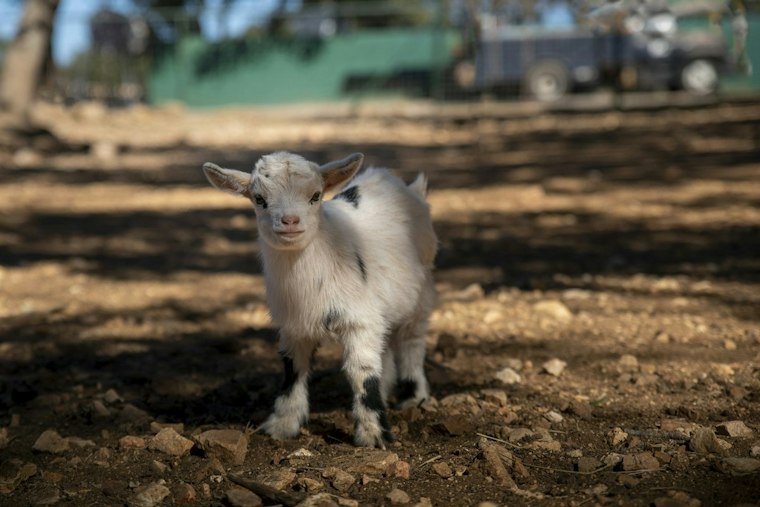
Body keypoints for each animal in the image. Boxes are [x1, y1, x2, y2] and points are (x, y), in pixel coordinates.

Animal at [202, 151, 437, 448]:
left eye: (315, 196)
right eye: (259, 198)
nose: (290, 221)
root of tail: (402, 185)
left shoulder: (359, 320)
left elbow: (361, 372)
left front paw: (373, 435)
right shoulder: (293, 326)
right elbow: (293, 370)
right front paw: (282, 424)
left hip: (422, 292)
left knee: (411, 341)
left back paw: (415, 397)